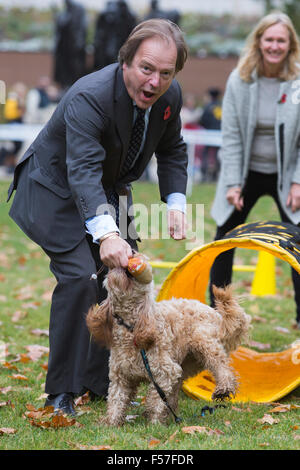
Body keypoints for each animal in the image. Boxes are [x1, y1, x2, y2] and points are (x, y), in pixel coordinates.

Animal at [86, 264, 251, 426]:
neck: (131, 328)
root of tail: (214, 312)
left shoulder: (166, 372)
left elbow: (156, 399)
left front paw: (154, 423)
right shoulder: (121, 376)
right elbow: (116, 400)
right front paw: (111, 423)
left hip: (204, 344)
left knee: (221, 366)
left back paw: (224, 388)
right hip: (186, 364)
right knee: (175, 394)